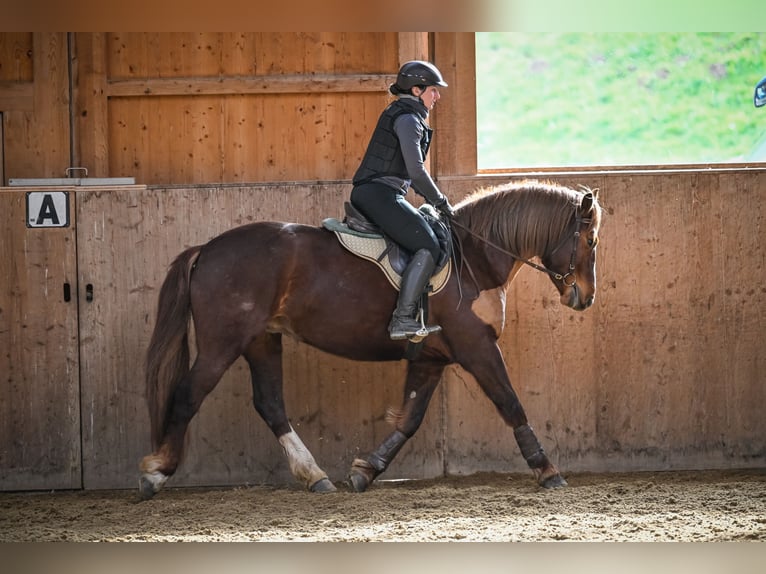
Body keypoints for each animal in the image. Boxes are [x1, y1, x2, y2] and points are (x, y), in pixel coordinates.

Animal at [141, 180, 604, 500]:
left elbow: (410, 419)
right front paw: (548, 470)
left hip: (261, 341)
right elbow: (510, 403)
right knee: (187, 395)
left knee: (270, 404)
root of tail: (206, 249)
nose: (584, 297)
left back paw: (315, 477)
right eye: (591, 240)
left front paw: (366, 470)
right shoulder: (477, 348)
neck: (473, 260)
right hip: (222, 344)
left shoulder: (431, 357)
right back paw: (156, 472)